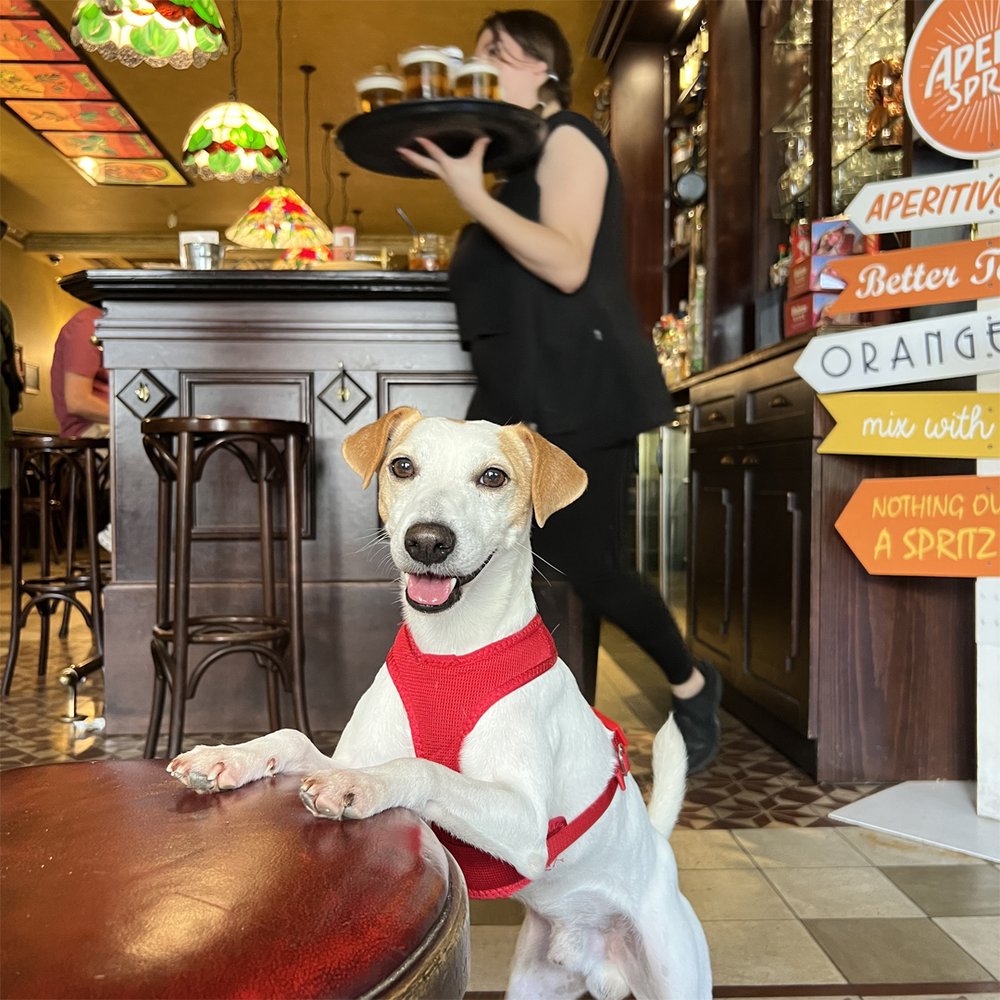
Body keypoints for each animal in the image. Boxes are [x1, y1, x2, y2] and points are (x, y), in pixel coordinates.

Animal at [168, 408, 712, 1000]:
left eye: (493, 477)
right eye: (402, 466)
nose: (427, 542)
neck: (449, 654)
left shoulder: (527, 824)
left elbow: (422, 767)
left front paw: (359, 786)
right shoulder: (348, 750)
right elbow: (291, 738)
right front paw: (226, 757)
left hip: (675, 970)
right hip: (536, 980)